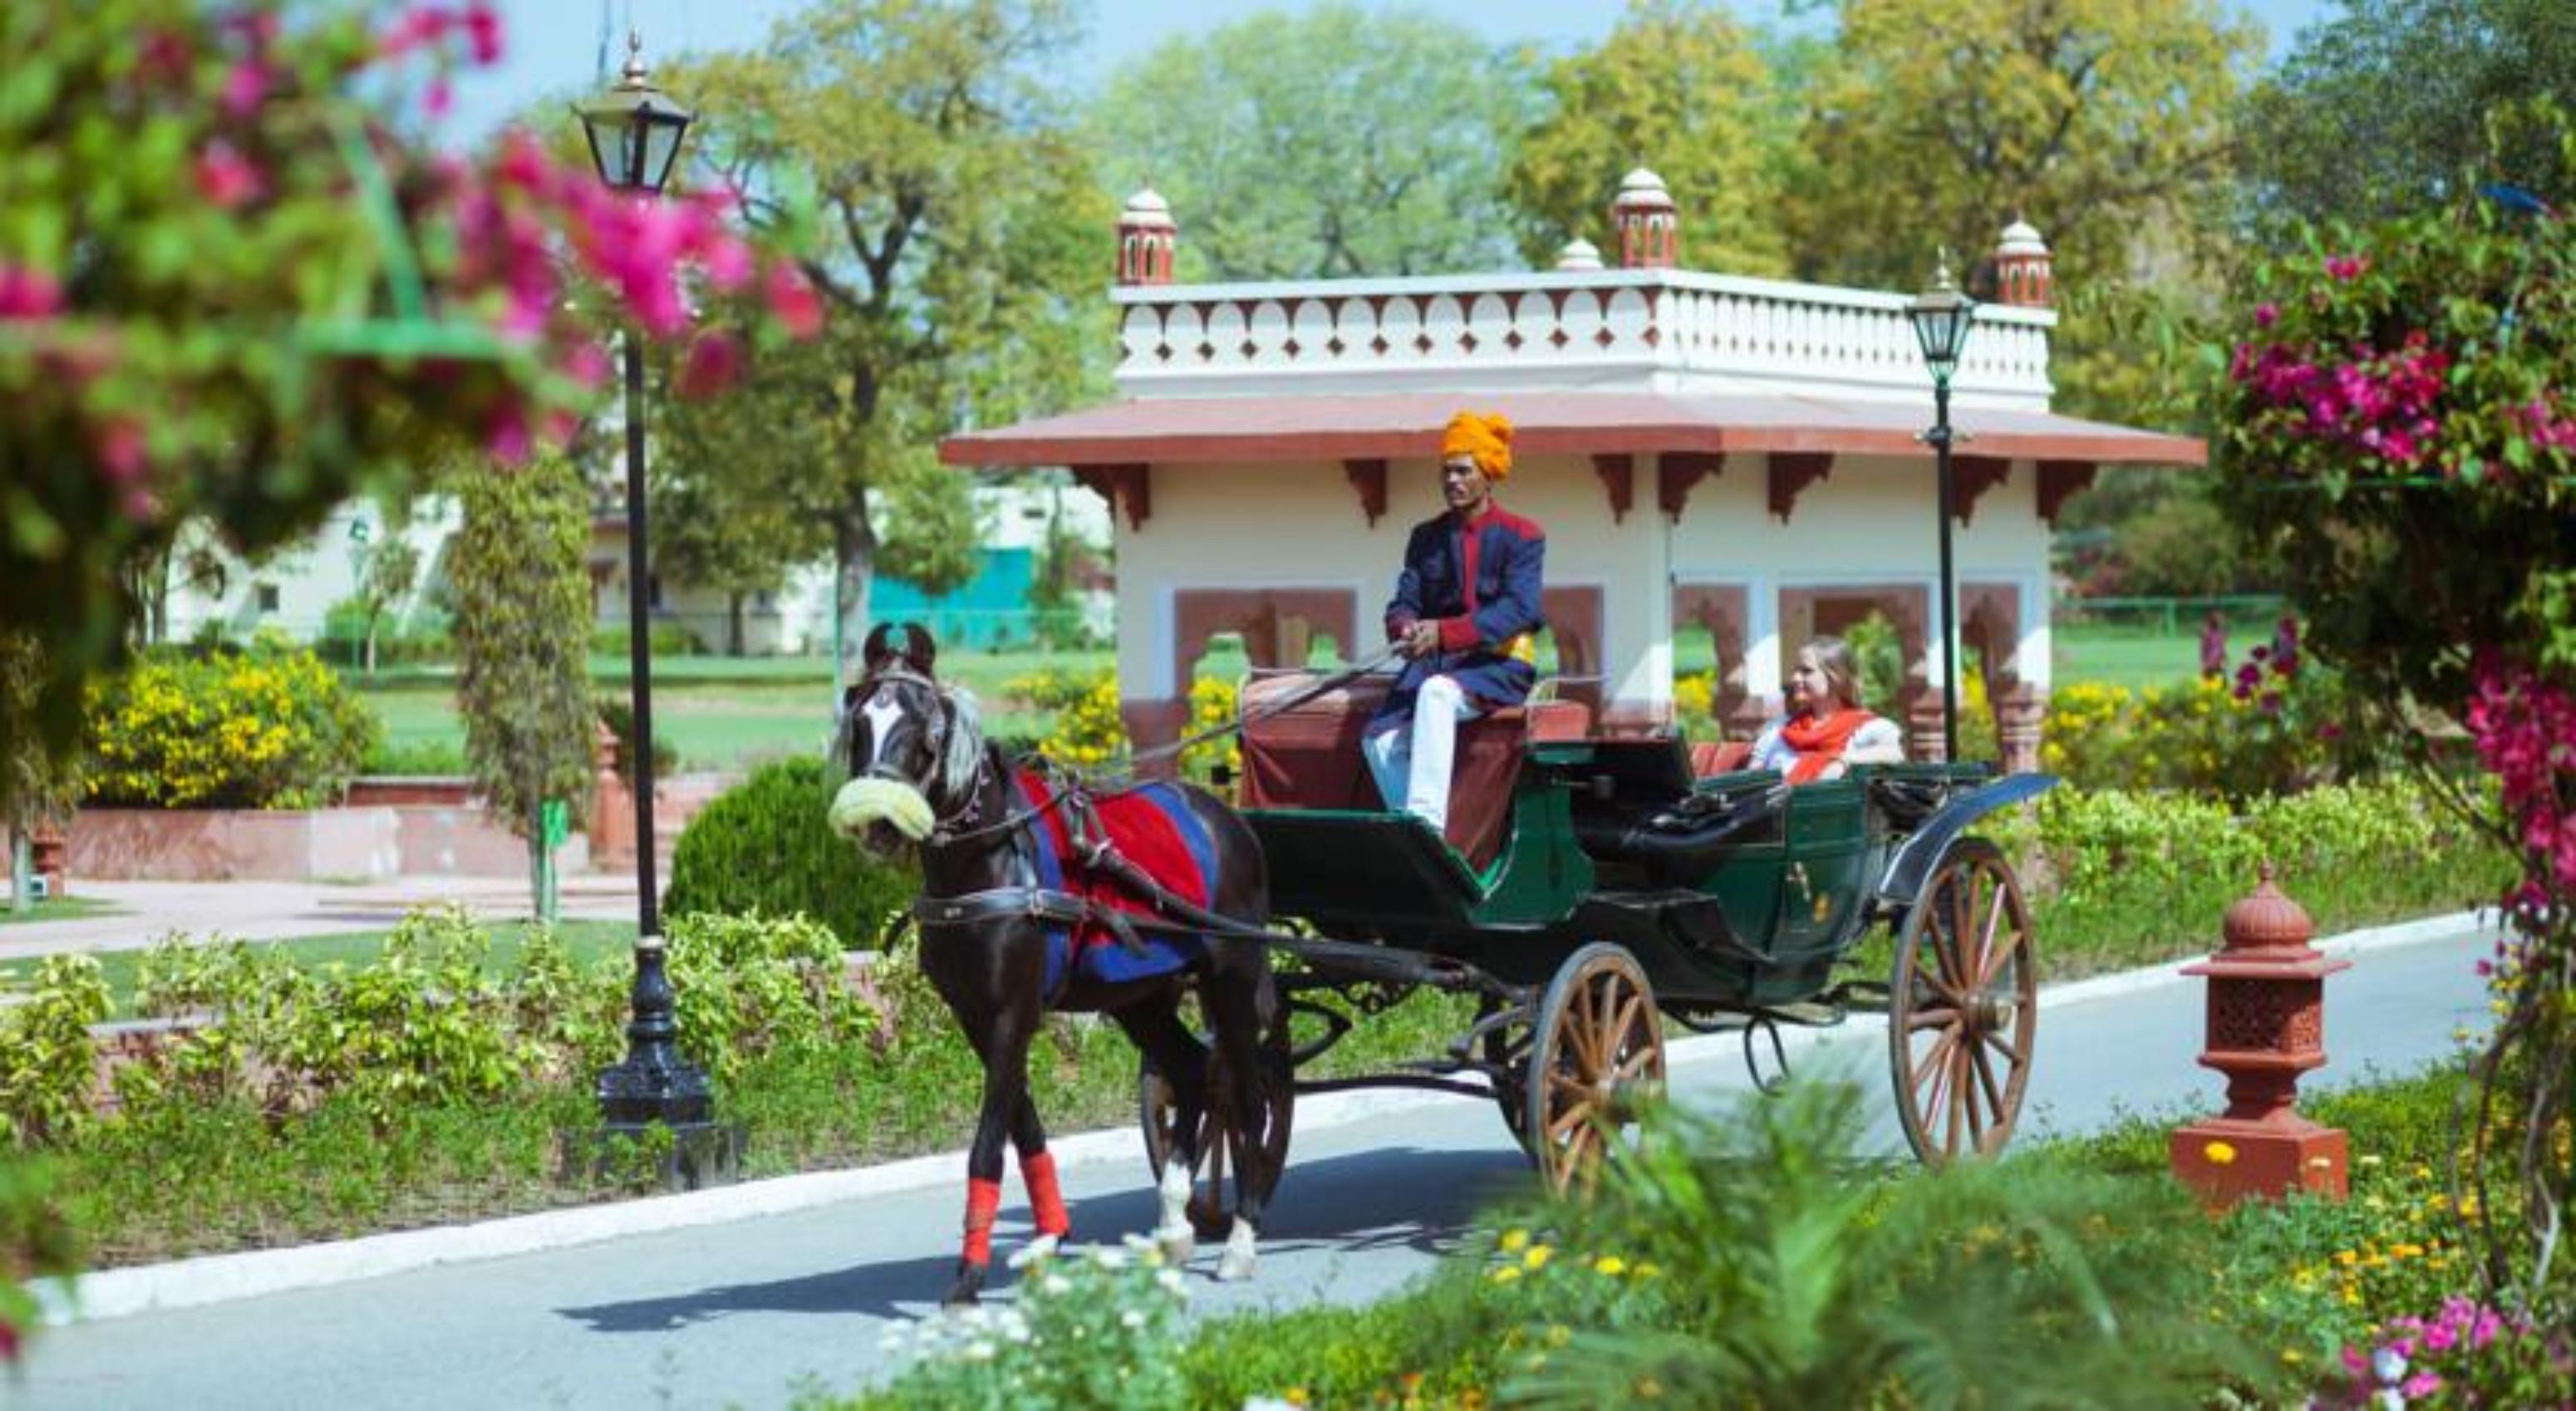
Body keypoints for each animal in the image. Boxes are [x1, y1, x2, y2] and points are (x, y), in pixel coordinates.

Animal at [829, 622, 1282, 1308]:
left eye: (926, 730)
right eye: (859, 721)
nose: (875, 822)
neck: (988, 863)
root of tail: (1226, 816)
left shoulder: (1013, 1013)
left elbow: (988, 1145)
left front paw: (969, 1275)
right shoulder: (976, 1016)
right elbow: (1024, 1126)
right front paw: (1049, 1237)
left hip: (1230, 976)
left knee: (1247, 1095)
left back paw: (1240, 1241)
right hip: (1140, 997)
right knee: (1191, 1070)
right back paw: (1175, 1223)